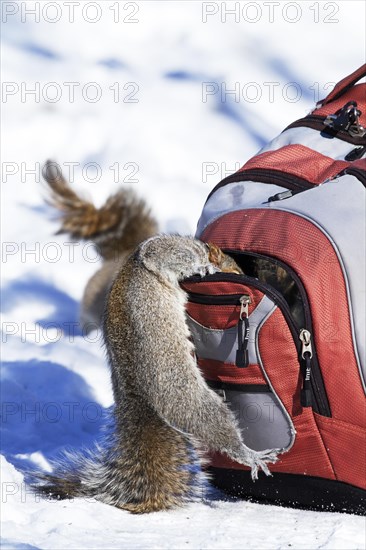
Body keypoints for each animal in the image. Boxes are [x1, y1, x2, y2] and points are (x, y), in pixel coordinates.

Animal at [37, 235, 278, 516]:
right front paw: (204, 268)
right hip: (180, 387)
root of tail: (141, 397)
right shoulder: (163, 250)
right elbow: (164, 255)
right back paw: (245, 452)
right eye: (236, 271)